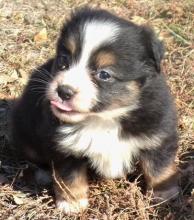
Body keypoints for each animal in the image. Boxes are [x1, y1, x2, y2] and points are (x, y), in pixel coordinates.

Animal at [11, 7, 179, 214]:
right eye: (64, 60)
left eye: (104, 74)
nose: (64, 91)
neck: (104, 119)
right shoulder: (64, 146)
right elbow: (69, 176)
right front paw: (72, 203)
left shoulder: (158, 134)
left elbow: (159, 167)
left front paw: (164, 195)